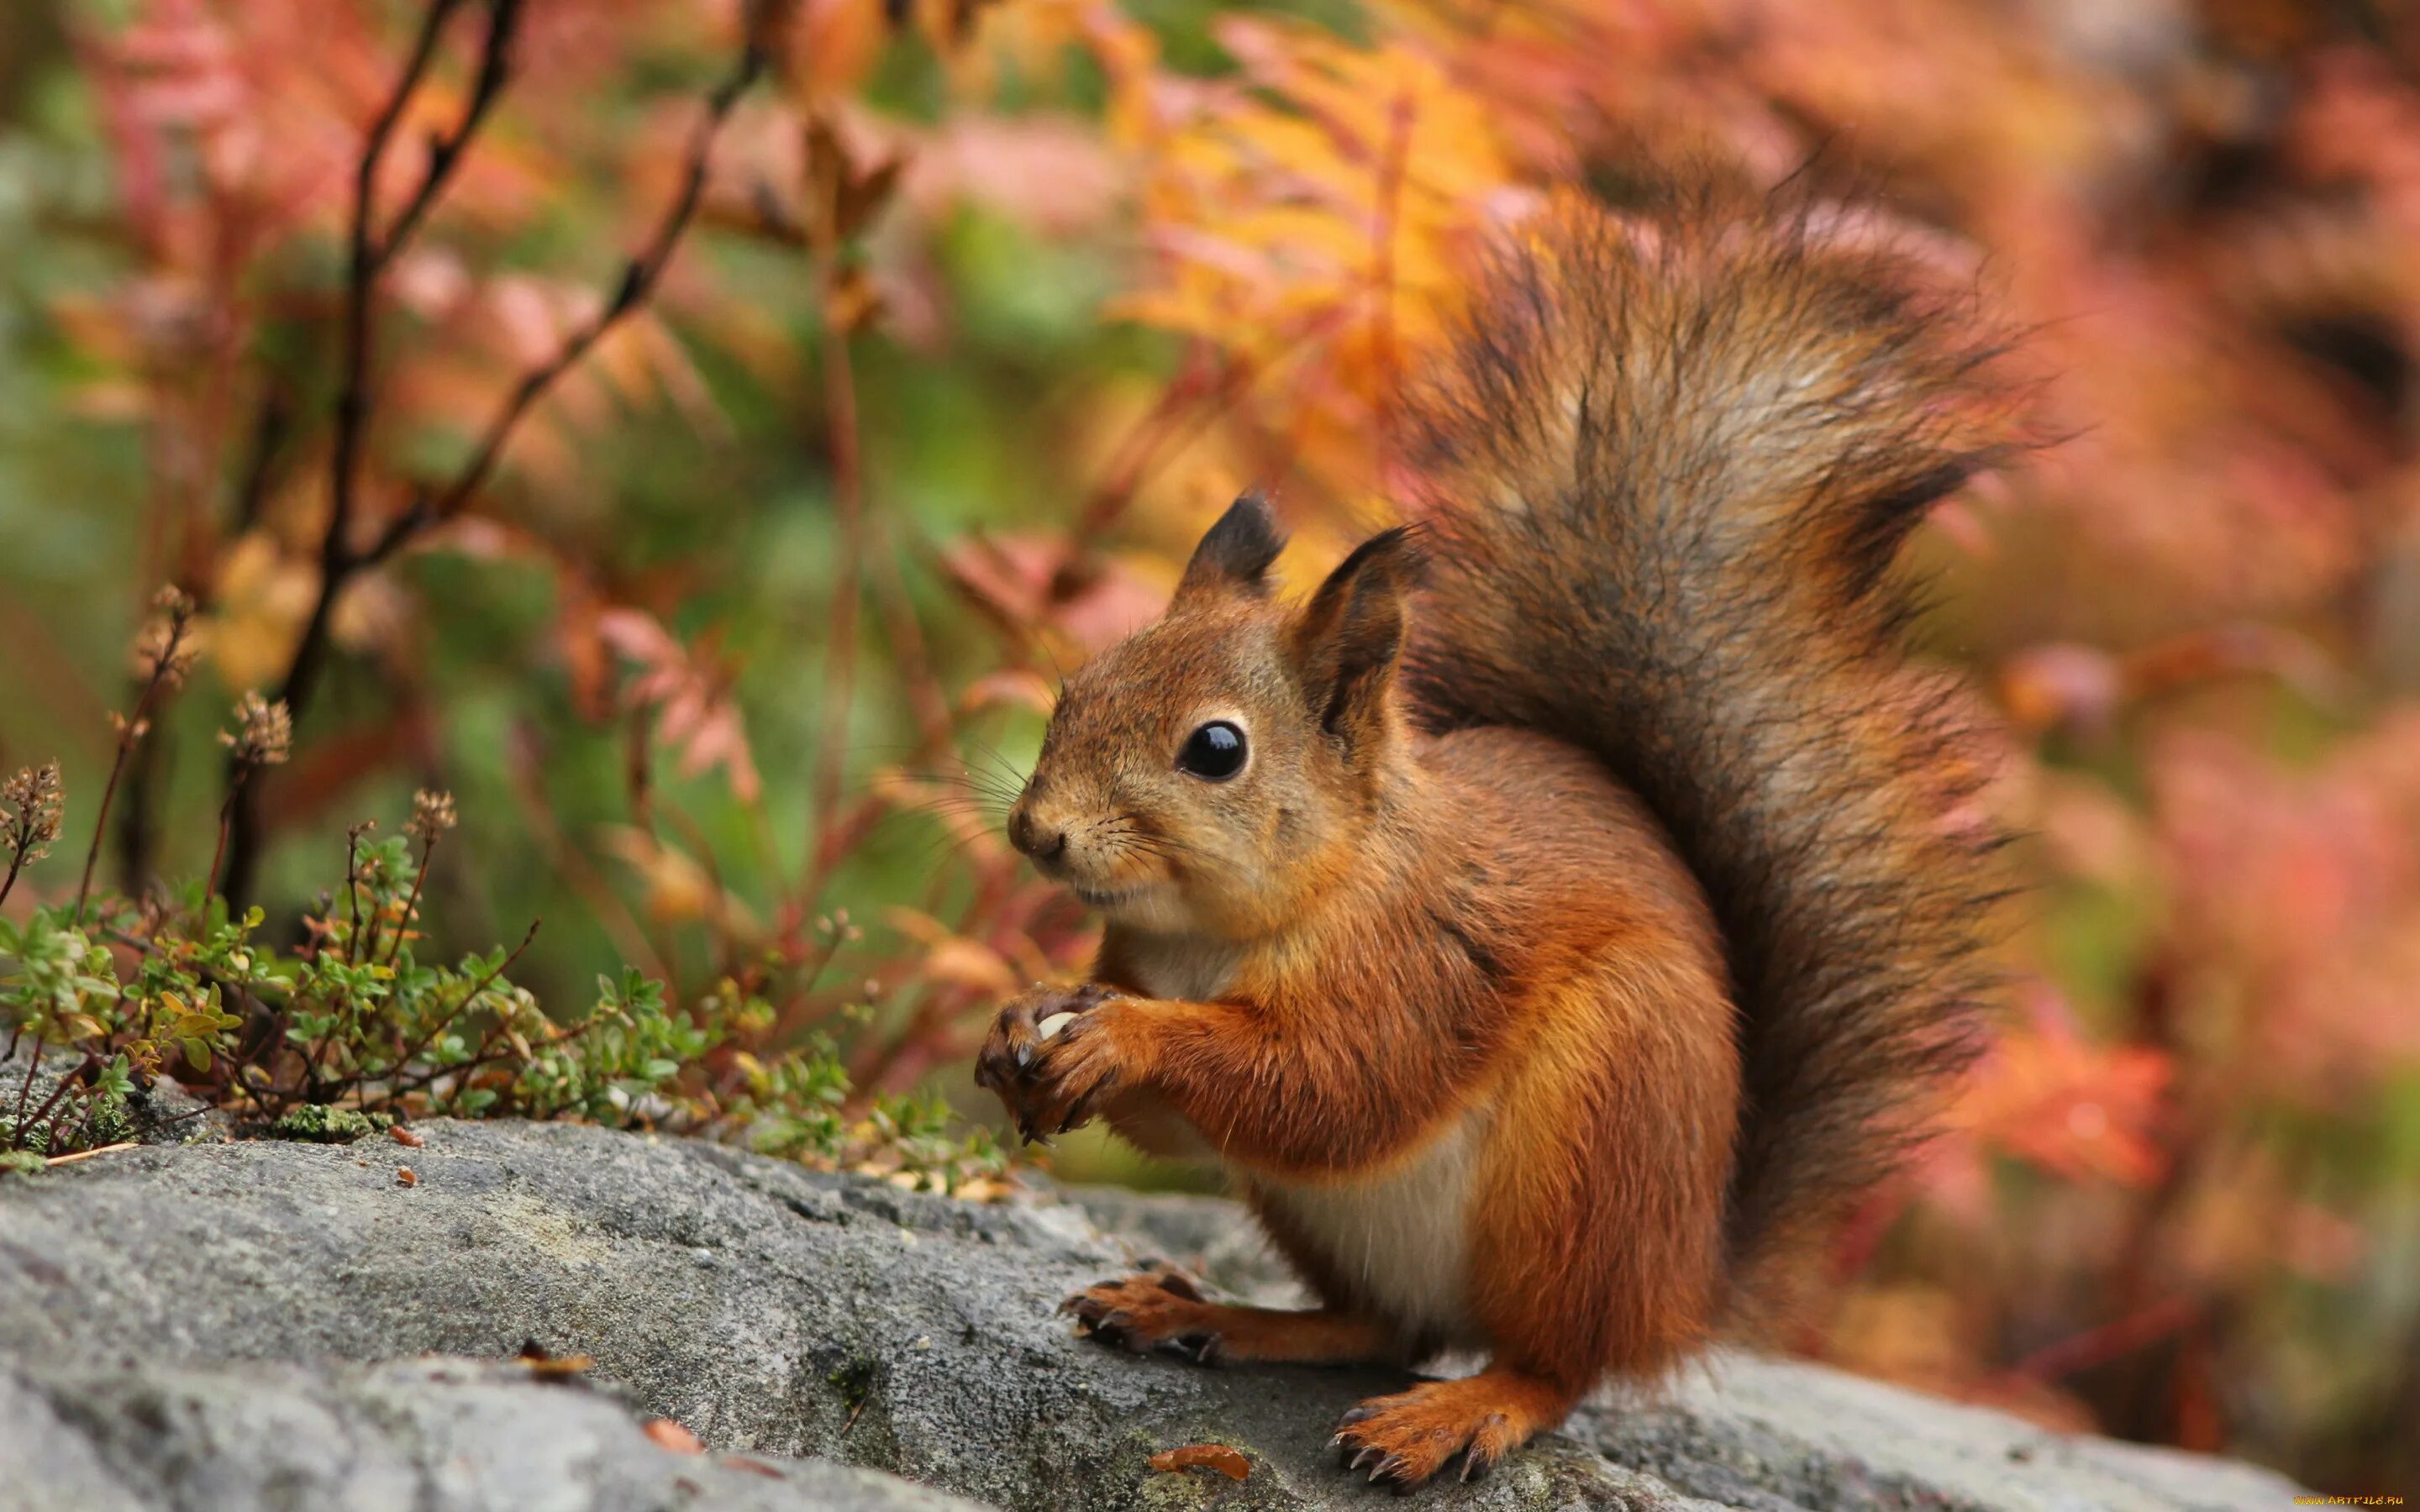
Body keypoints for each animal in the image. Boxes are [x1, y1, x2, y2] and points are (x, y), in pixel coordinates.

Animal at [972, 186, 2013, 1490]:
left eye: (1216, 749)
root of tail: (1679, 1290)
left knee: (1552, 1365)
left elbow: (1328, 1085)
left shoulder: (1423, 964)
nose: (1037, 832)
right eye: (1078, 687)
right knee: (1382, 1325)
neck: (1225, 931)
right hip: (1328, 1217)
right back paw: (1209, 1314)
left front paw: (1126, 1037)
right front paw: (1024, 1017)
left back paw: (1457, 1413)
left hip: (1592, 1145)